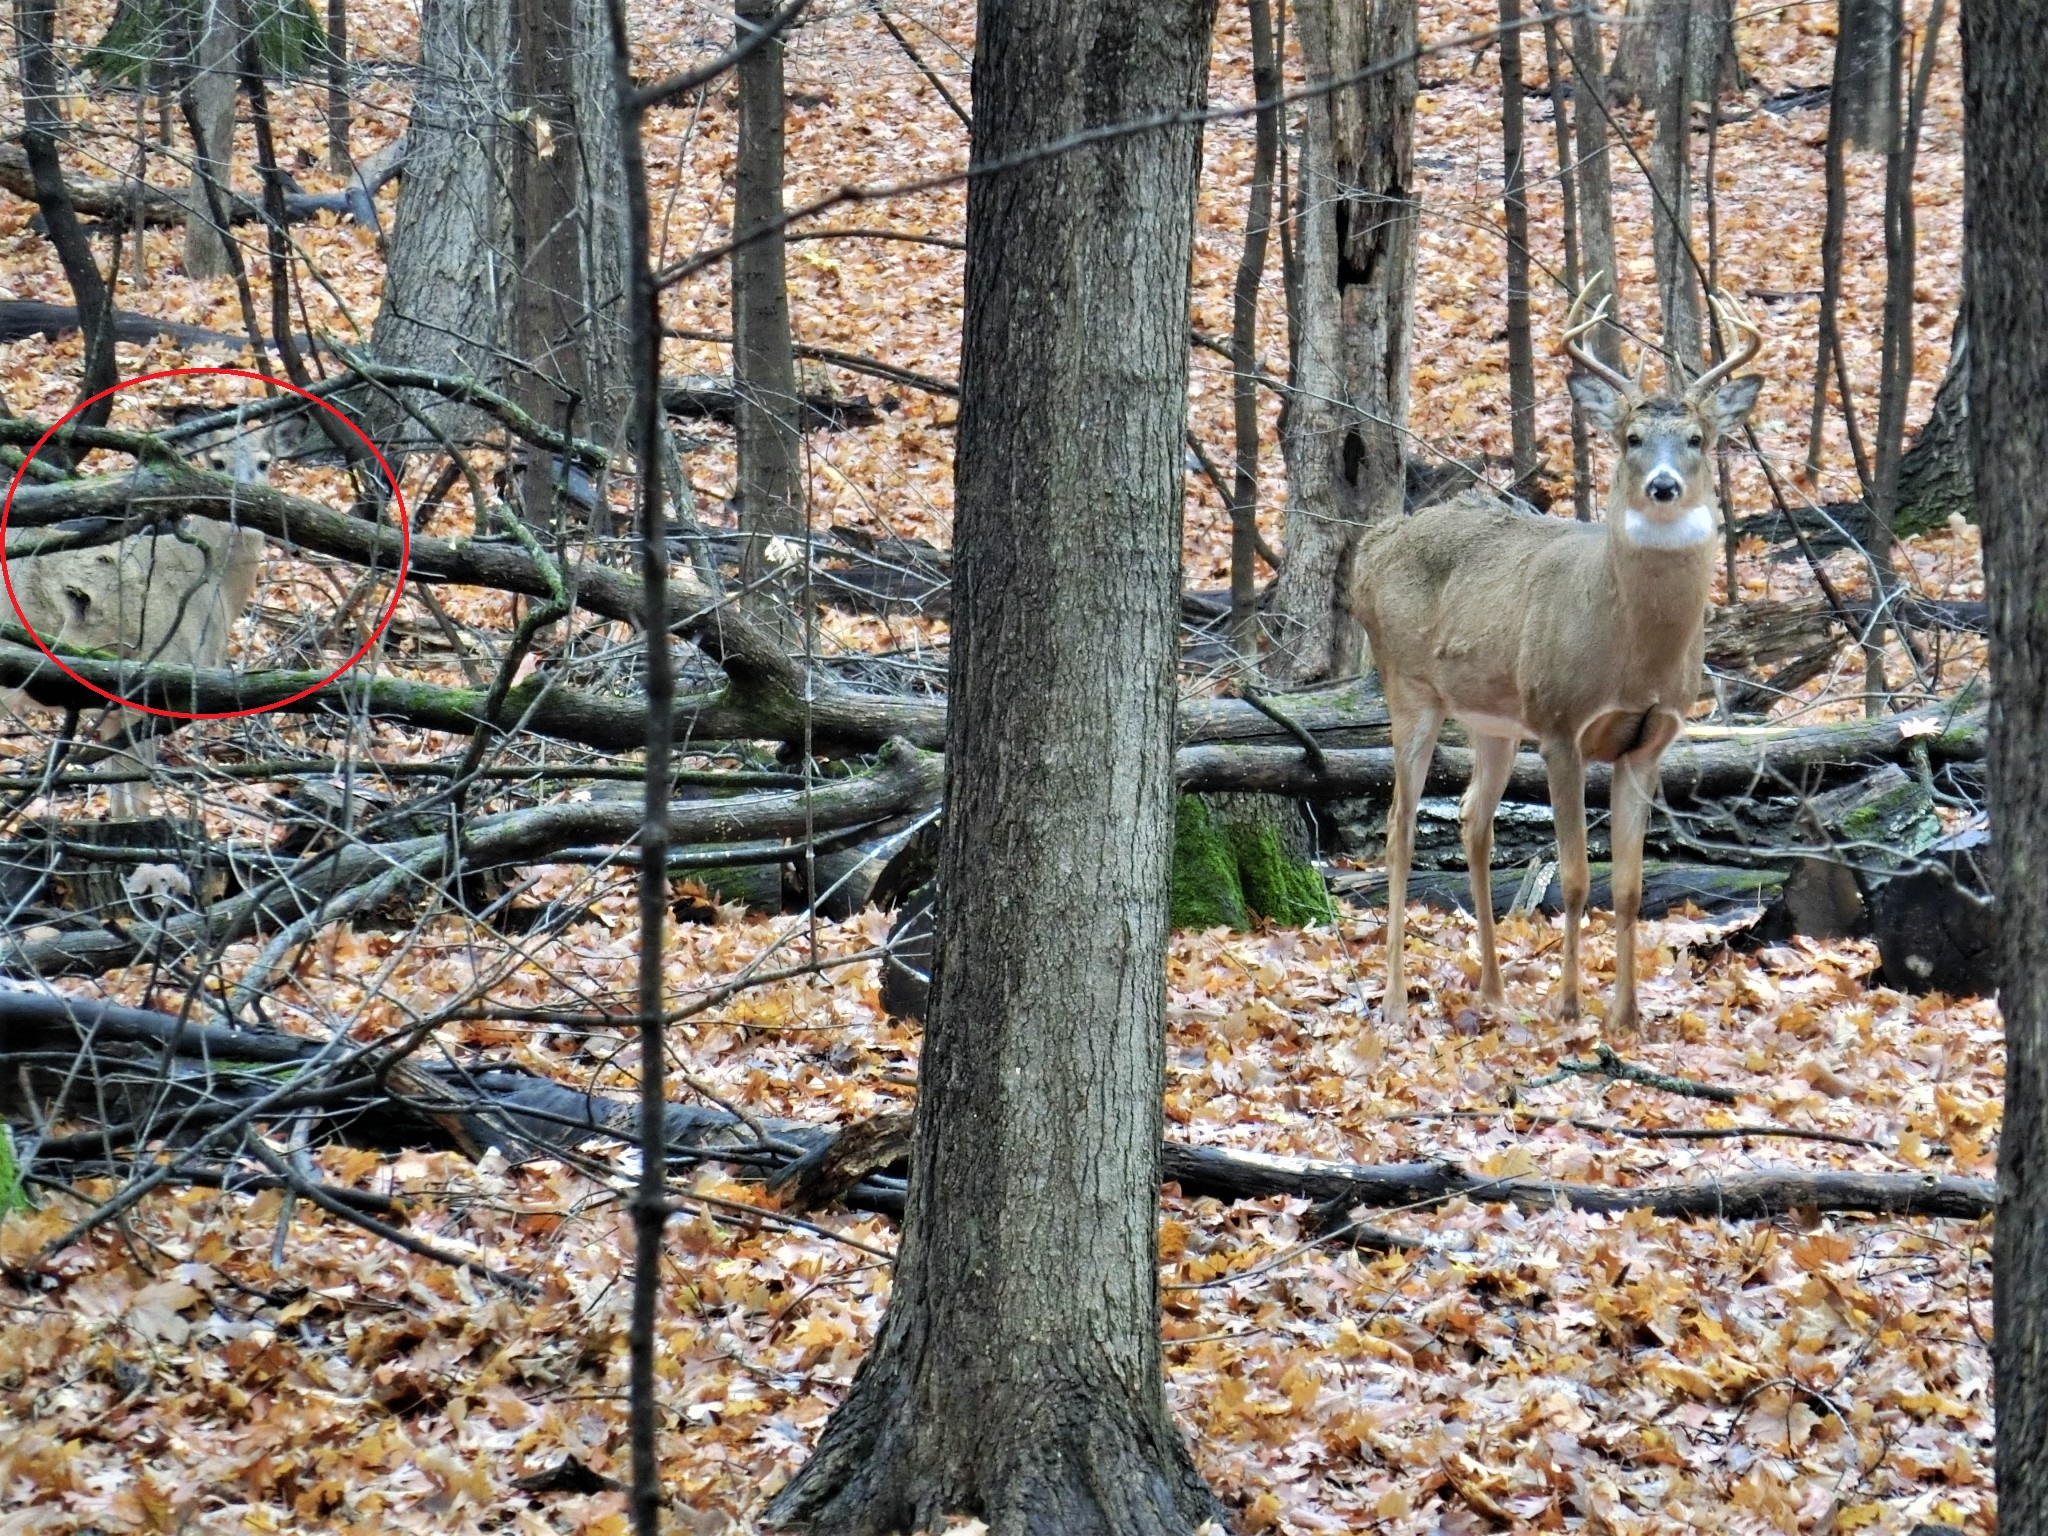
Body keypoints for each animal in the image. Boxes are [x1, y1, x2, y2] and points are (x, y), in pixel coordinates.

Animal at [4, 408, 284, 818]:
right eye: (216, 462)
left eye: (265, 464)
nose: (241, 510)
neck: (214, 589)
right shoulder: (154, 683)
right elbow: (138, 790)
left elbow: (118, 793)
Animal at [1349, 275, 1764, 1034]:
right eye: (1631, 438)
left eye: (1696, 437)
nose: (1663, 486)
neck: (1631, 651)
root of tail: (1371, 545)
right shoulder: (1561, 723)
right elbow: (1573, 879)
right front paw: (1571, 1007)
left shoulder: (1648, 742)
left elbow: (1627, 887)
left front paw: (1626, 1016)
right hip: (1410, 686)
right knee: (1399, 827)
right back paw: (1393, 1000)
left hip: (1492, 720)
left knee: (1471, 818)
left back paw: (1492, 991)